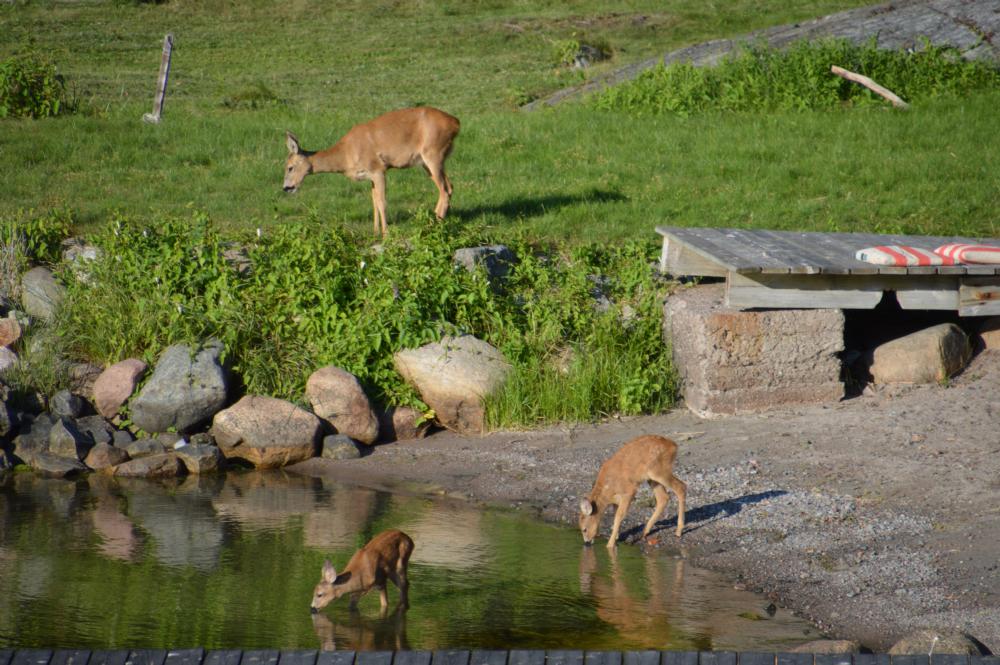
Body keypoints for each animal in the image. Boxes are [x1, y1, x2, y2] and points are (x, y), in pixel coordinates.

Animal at [282, 109, 460, 241]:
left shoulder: (378, 169)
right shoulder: (370, 177)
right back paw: (432, 223)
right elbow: (374, 201)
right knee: (449, 187)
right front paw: (375, 233)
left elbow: (382, 202)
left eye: (290, 167)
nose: (286, 188)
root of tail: (456, 123)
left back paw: (435, 226)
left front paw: (386, 235)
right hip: (428, 162)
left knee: (444, 190)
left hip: (433, 154)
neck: (346, 154)